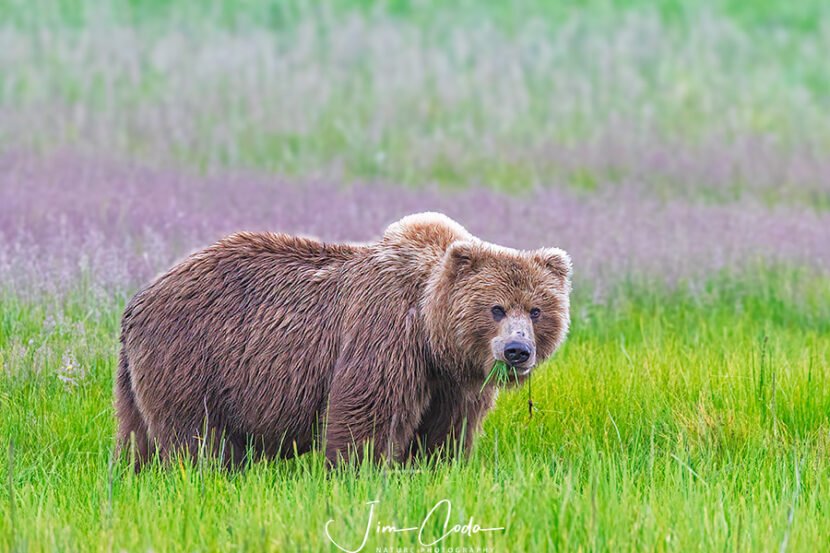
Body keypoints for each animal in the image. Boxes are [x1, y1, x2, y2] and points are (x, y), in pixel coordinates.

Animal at [115, 212, 572, 469]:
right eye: (496, 308)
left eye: (536, 310)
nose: (517, 351)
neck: (432, 332)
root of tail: (141, 296)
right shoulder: (385, 333)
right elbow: (366, 412)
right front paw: (359, 471)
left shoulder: (454, 380)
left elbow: (447, 431)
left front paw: (435, 468)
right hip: (193, 356)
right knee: (194, 436)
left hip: (140, 374)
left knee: (136, 435)